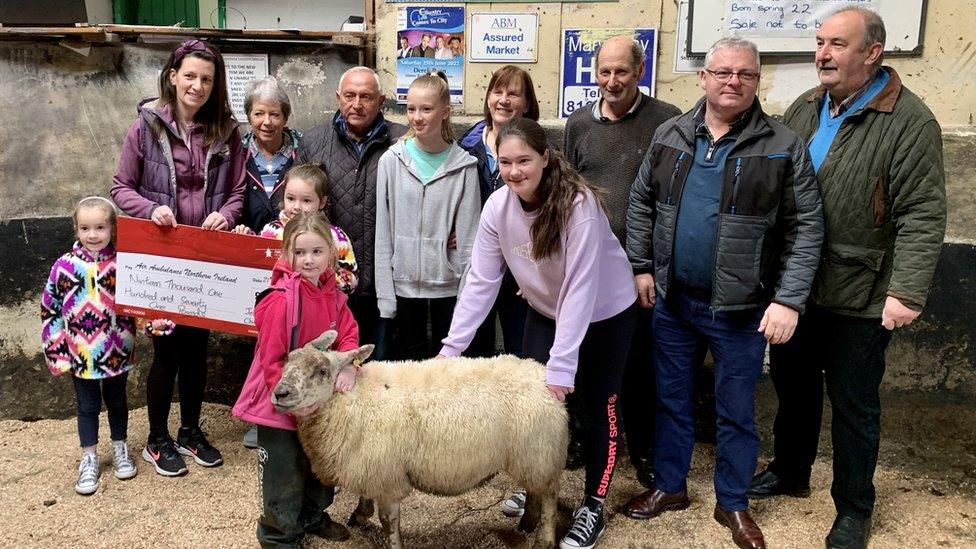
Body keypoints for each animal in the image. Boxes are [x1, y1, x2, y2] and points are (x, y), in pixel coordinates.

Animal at [270, 330, 568, 548]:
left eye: (322, 371)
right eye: (287, 361)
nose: (280, 393)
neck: (352, 397)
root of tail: (542, 376)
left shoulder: (387, 474)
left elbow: (388, 520)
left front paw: (392, 542)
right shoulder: (369, 464)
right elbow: (366, 497)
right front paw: (359, 516)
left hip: (540, 451)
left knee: (549, 495)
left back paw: (543, 539)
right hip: (532, 455)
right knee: (535, 490)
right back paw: (527, 523)